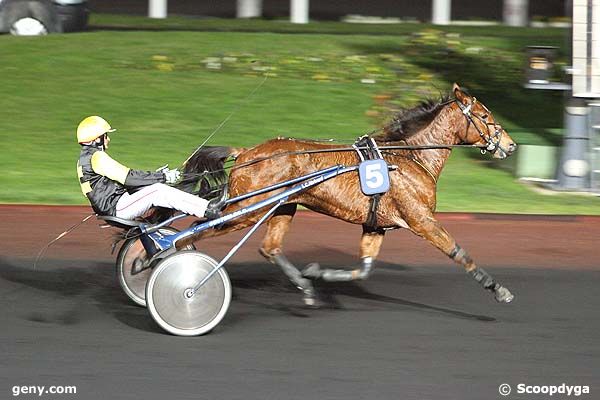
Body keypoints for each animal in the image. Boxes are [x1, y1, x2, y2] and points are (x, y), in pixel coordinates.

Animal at [176, 85, 516, 306]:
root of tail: (247, 151)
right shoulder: (421, 219)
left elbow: (362, 270)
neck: (408, 157)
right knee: (189, 234)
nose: (510, 145)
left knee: (269, 248)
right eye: (485, 116)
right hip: (247, 209)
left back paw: (305, 287)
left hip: (282, 207)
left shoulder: (376, 225)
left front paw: (318, 272)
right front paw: (498, 289)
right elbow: (459, 253)